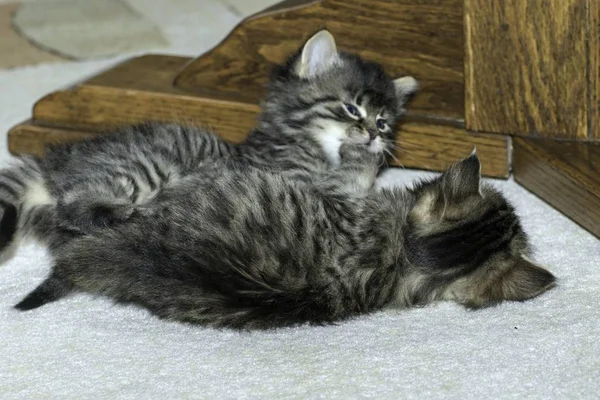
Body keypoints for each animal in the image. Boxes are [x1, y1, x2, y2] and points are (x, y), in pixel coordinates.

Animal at [0, 30, 418, 262]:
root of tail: (56, 161)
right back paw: (134, 212)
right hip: (151, 163)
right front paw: (360, 156)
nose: (373, 134)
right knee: (74, 203)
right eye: (352, 109)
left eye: (383, 121)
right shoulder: (300, 185)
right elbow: (346, 182)